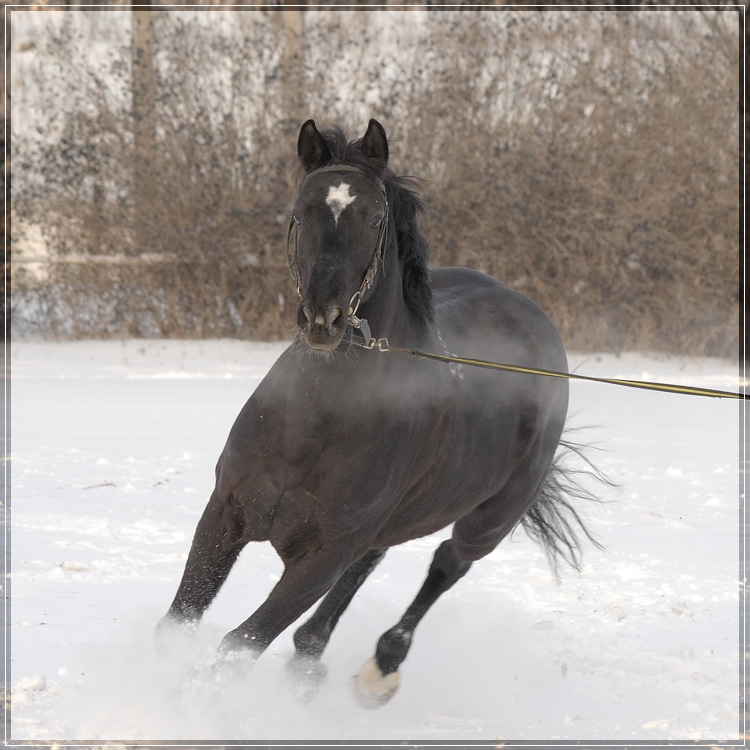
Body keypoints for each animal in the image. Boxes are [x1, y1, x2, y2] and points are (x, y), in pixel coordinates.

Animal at [160, 119, 600, 712]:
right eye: (299, 212)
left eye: (373, 219)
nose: (322, 320)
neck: (313, 423)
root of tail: (531, 317)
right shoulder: (225, 514)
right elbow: (178, 622)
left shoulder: (322, 554)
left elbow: (236, 647)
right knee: (368, 569)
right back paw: (311, 661)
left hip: (490, 517)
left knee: (447, 563)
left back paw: (382, 667)